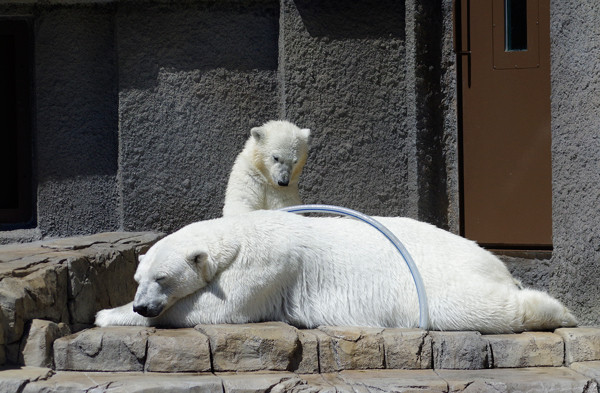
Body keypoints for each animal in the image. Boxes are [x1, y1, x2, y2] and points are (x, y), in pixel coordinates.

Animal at [95, 210, 576, 332]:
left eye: (162, 279)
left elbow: (218, 310)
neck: (241, 233)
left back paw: (560, 311)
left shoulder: (266, 265)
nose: (141, 307)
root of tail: (493, 263)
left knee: (474, 308)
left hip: (428, 283)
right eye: (138, 280)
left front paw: (105, 314)